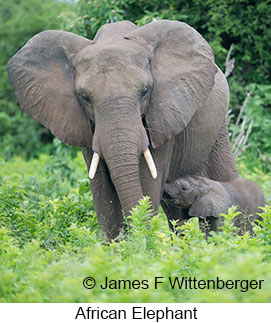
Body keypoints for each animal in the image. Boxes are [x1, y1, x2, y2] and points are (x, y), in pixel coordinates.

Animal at [6, 19, 238, 239]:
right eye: (85, 97)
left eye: (145, 91)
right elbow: (101, 188)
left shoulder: (162, 116)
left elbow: (148, 181)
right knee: (175, 214)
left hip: (218, 131)